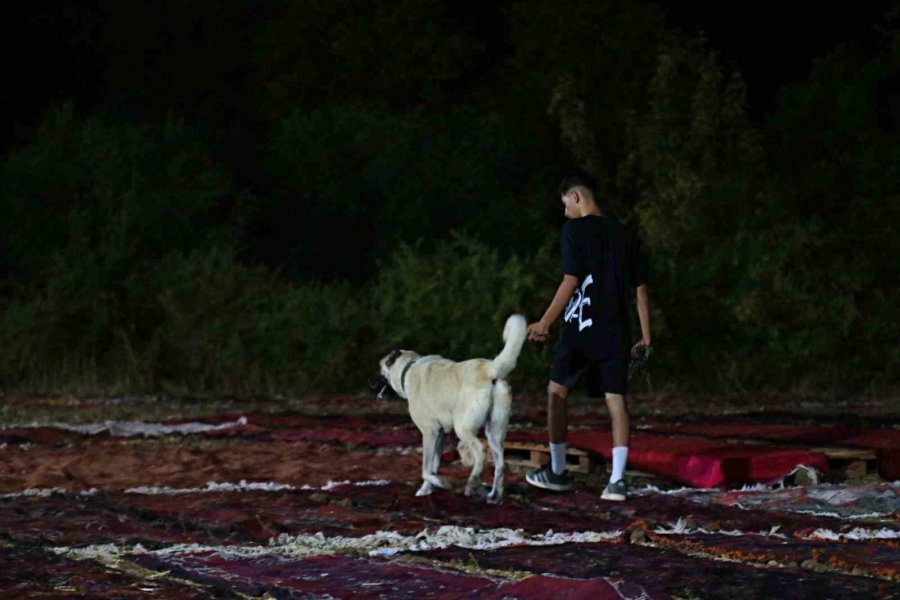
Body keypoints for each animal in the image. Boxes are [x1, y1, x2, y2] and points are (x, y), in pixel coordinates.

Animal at [378, 314, 528, 502]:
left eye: (381, 370)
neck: (408, 368)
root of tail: (490, 368)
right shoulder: (440, 435)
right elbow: (433, 466)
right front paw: (427, 489)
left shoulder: (430, 432)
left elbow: (426, 470)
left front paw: (441, 483)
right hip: (494, 432)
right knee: (500, 464)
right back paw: (494, 496)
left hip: (462, 428)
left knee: (480, 451)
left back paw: (472, 482)